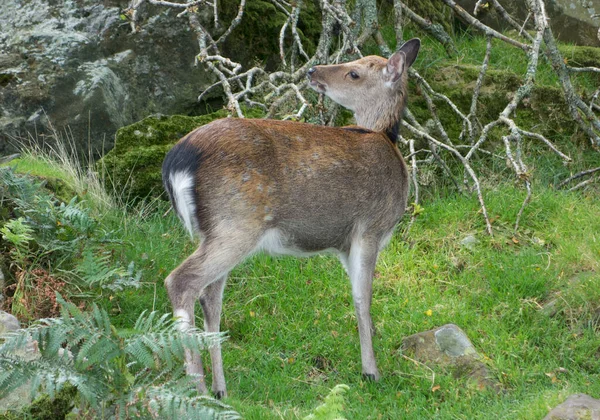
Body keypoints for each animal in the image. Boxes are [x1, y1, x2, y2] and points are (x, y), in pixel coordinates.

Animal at [162, 37, 420, 398]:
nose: (313, 70)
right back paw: (196, 389)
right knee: (181, 281)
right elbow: (363, 299)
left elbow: (358, 298)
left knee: (209, 297)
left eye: (354, 72)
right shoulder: (370, 228)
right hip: (237, 224)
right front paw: (371, 371)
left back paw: (220, 388)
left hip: (213, 231)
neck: (384, 137)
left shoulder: (344, 244)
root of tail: (176, 161)